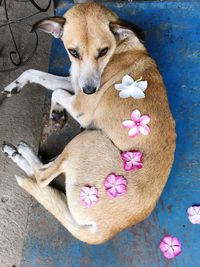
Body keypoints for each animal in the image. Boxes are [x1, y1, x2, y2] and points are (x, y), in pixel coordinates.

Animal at [0, 3, 175, 245]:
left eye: (103, 51)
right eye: (73, 52)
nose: (91, 90)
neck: (120, 48)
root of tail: (106, 230)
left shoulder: (80, 106)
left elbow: (56, 90)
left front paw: (56, 111)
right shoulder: (75, 81)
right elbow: (36, 74)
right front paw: (16, 87)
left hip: (88, 139)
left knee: (42, 177)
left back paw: (21, 153)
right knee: (50, 169)